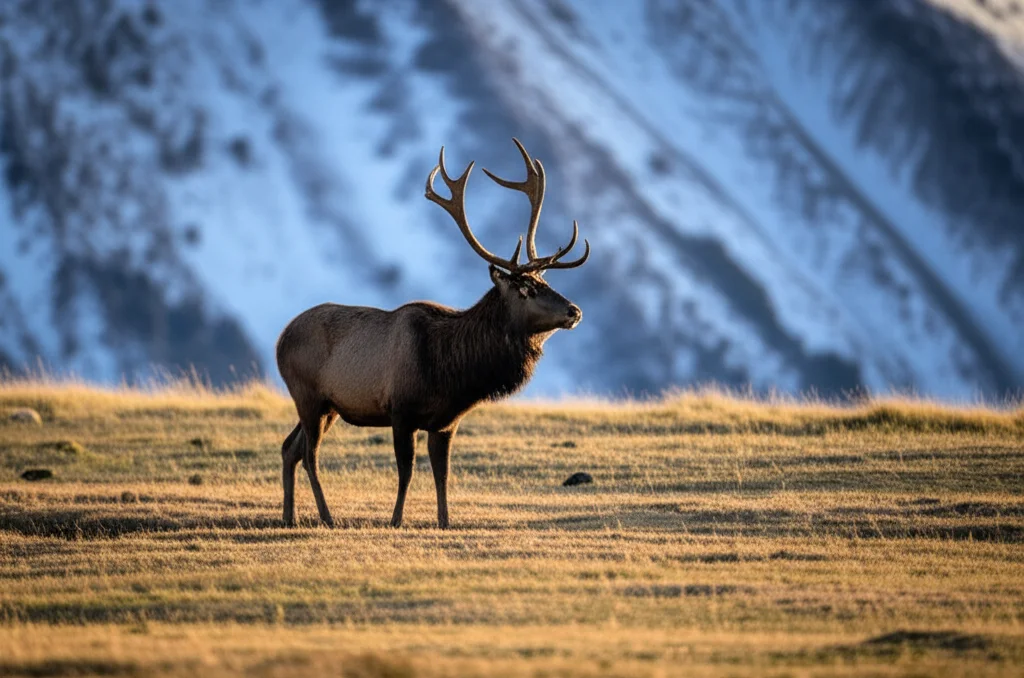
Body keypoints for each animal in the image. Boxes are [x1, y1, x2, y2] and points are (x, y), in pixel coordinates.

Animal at [275, 138, 589, 529]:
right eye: (525, 289)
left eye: (545, 282)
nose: (574, 311)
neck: (451, 370)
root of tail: (279, 340)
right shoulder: (401, 411)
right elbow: (406, 472)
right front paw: (395, 521)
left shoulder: (445, 423)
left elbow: (443, 474)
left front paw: (445, 521)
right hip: (307, 394)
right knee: (310, 455)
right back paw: (327, 517)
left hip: (328, 405)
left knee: (289, 448)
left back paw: (289, 517)